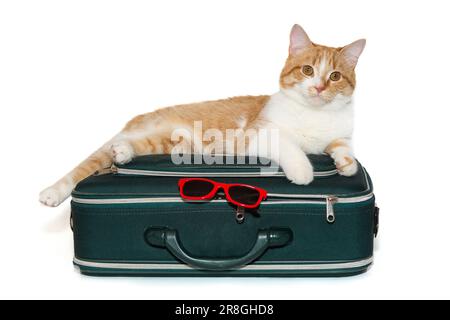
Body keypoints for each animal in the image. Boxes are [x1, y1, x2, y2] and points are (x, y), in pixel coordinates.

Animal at [40, 23, 366, 206]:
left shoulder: (338, 135)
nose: (319, 87)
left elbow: (341, 146)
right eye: (308, 70)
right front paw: (302, 170)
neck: (314, 114)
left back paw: (125, 152)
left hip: (169, 141)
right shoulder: (257, 134)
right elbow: (287, 145)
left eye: (335, 76)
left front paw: (346, 163)